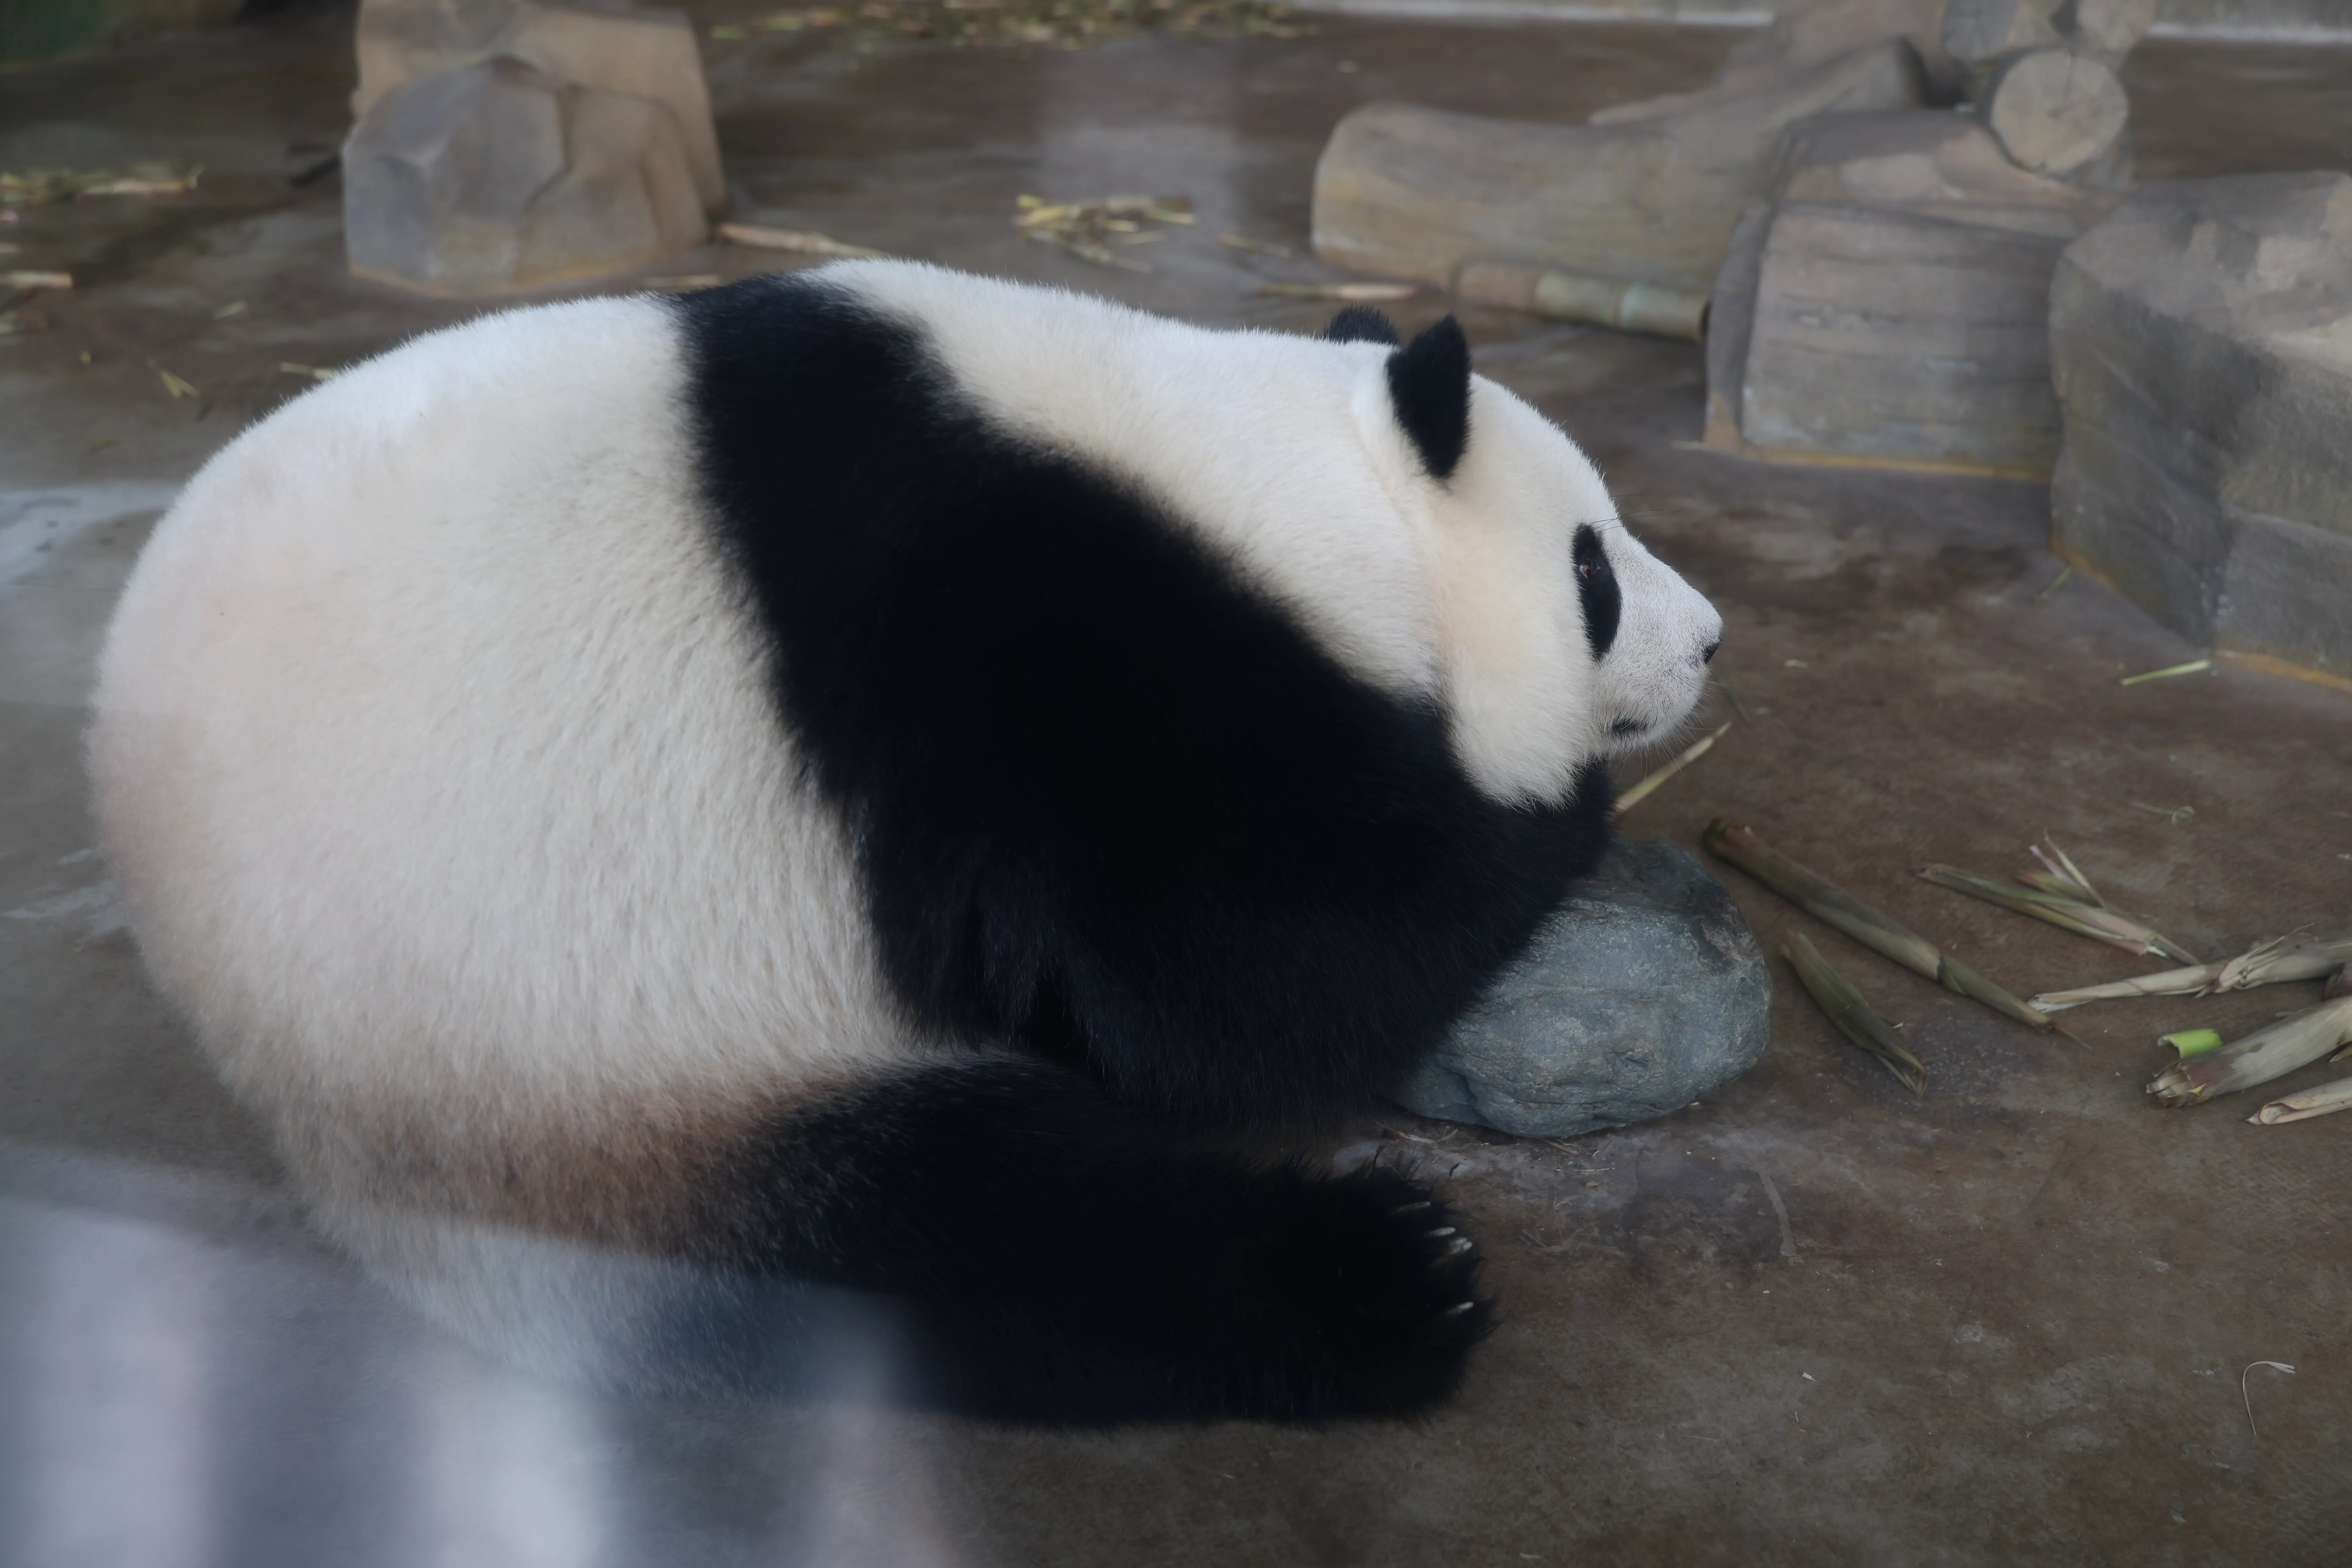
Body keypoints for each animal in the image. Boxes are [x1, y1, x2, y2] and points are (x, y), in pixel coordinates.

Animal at [88, 261, 1722, 1424]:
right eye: (1592, 568)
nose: (1708, 640)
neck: (1266, 479)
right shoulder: (1051, 658)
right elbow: (1244, 975)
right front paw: (1554, 801)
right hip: (587, 1042)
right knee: (969, 1250)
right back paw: (1382, 1283)